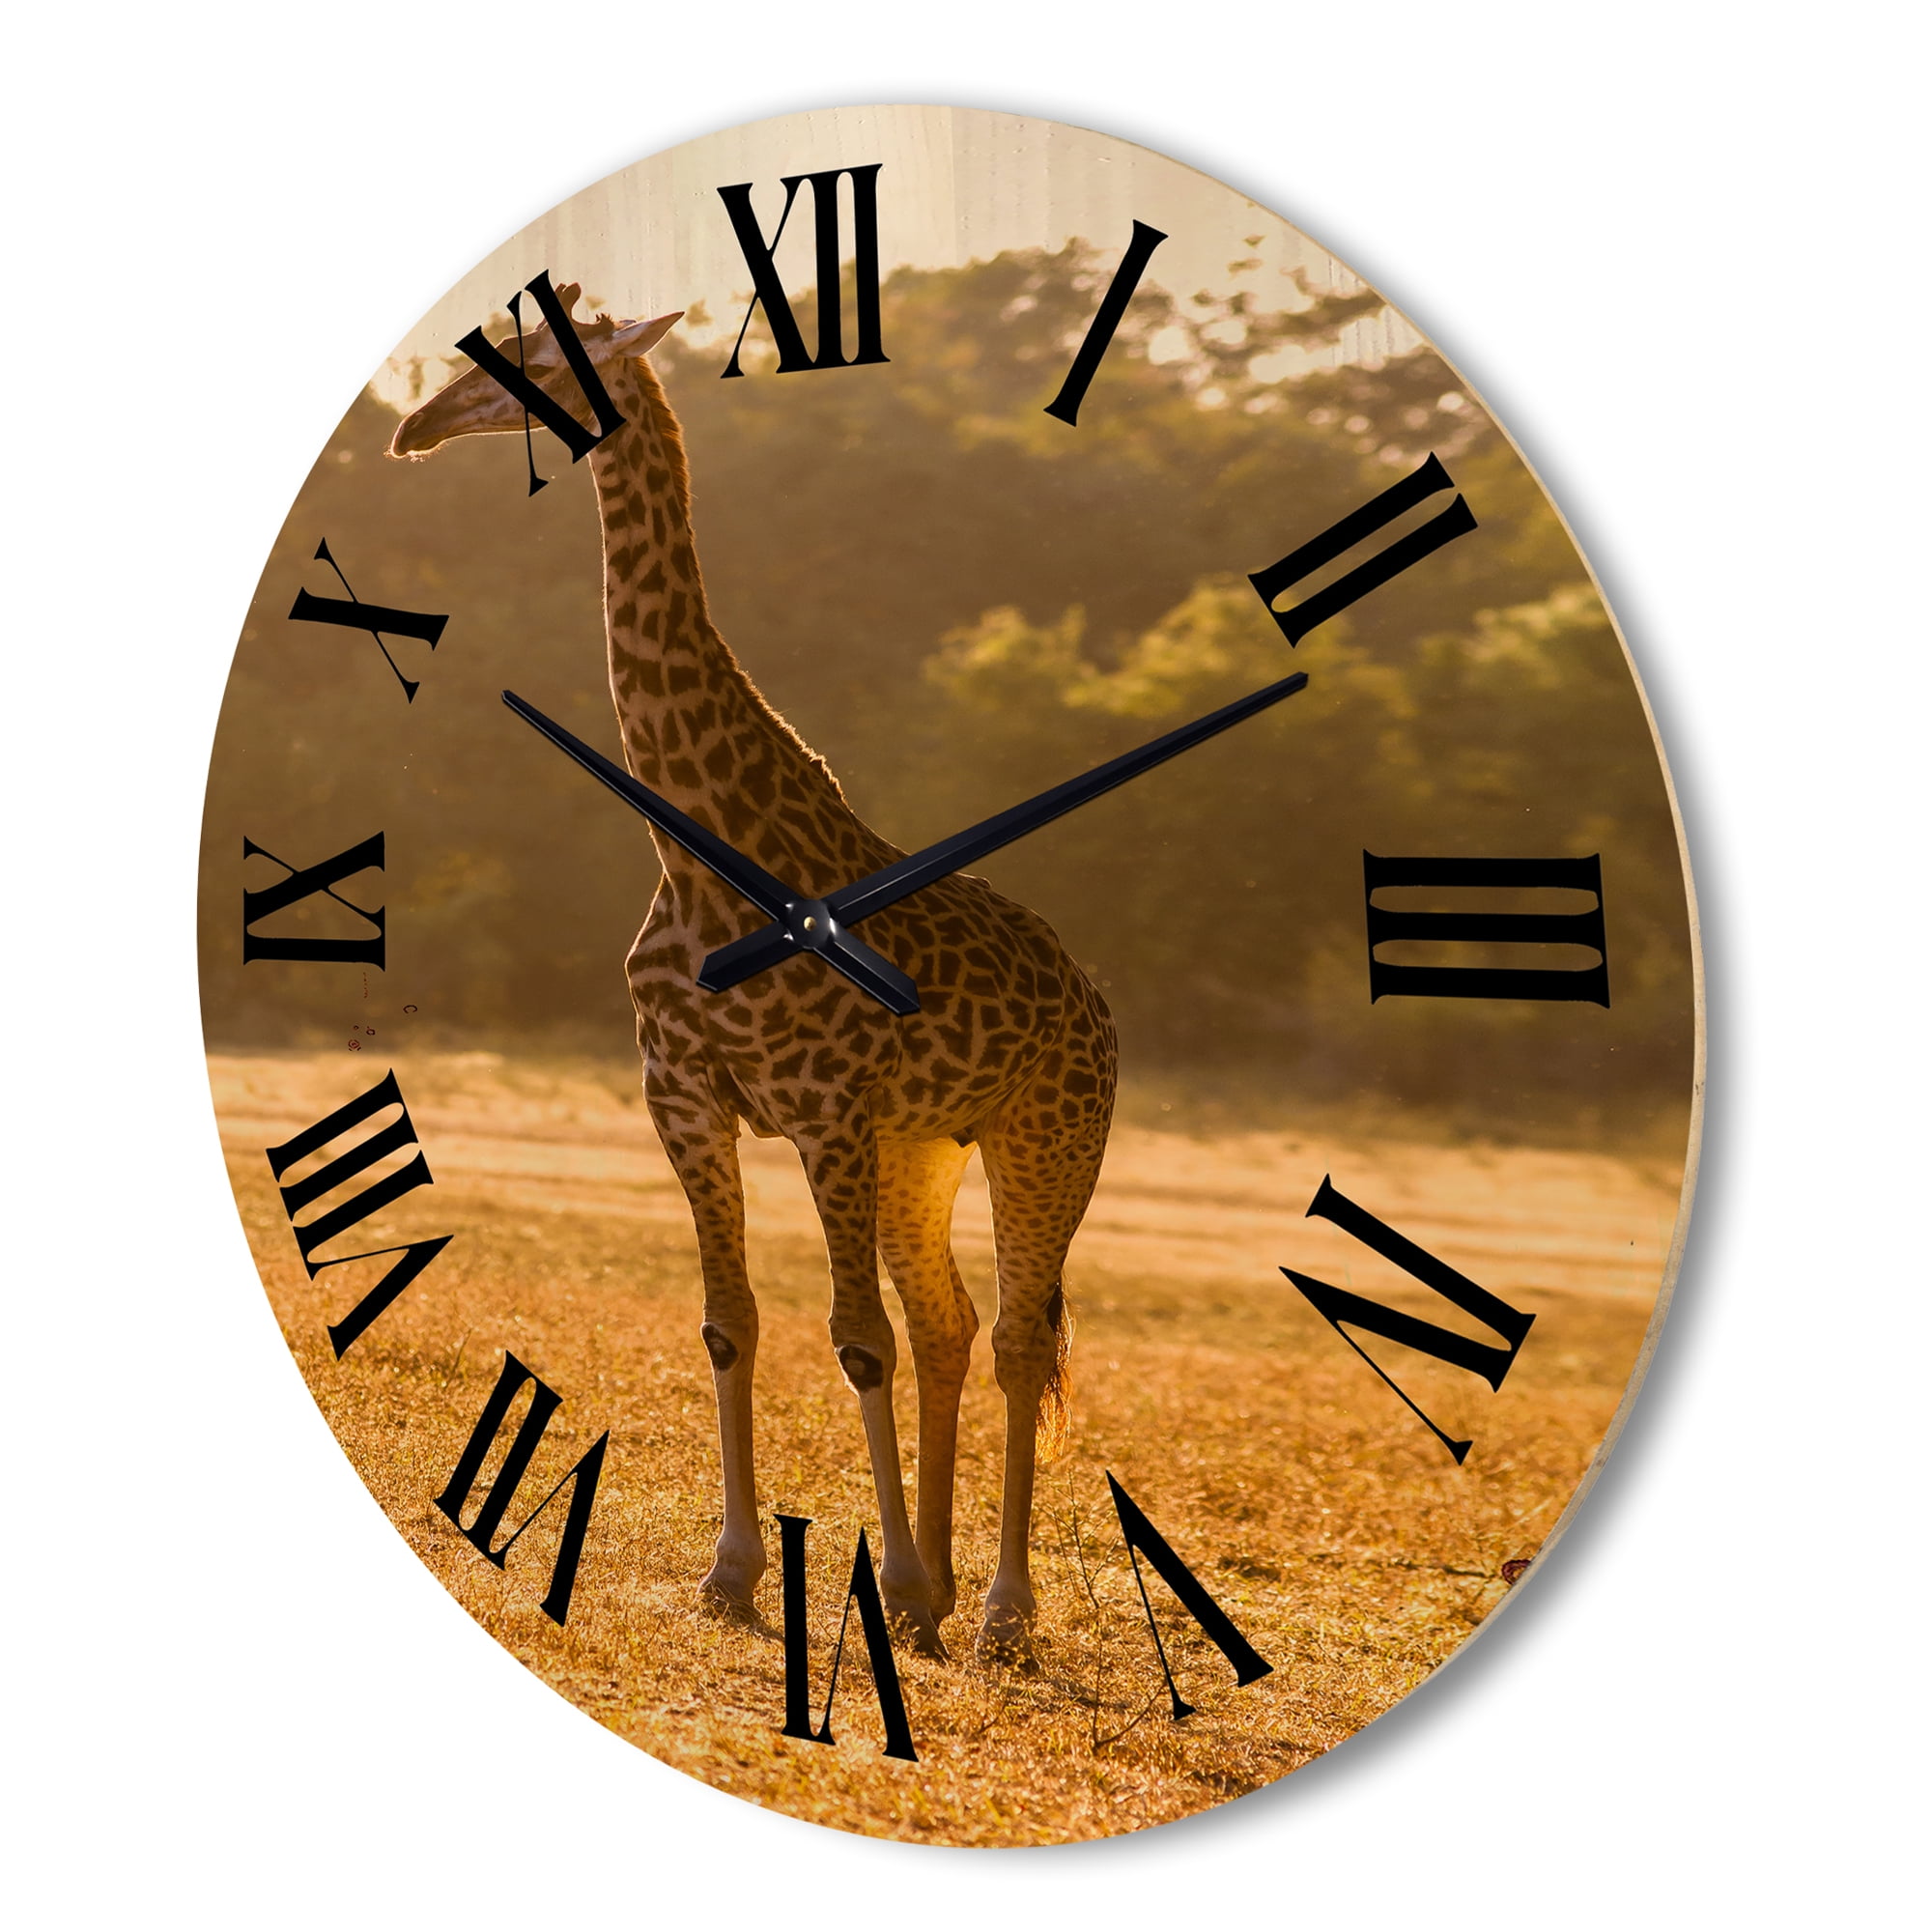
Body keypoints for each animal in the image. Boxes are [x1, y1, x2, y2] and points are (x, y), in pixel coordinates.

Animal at [390, 291, 1117, 1663]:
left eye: (538, 352)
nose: (414, 427)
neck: (694, 847)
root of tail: (1096, 1001)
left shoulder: (822, 1110)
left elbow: (854, 1341)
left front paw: (885, 1583)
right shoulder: (684, 1096)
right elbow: (735, 1322)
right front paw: (736, 1572)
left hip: (1045, 1135)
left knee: (1008, 1335)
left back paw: (994, 1608)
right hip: (919, 1149)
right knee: (946, 1325)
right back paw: (941, 1587)